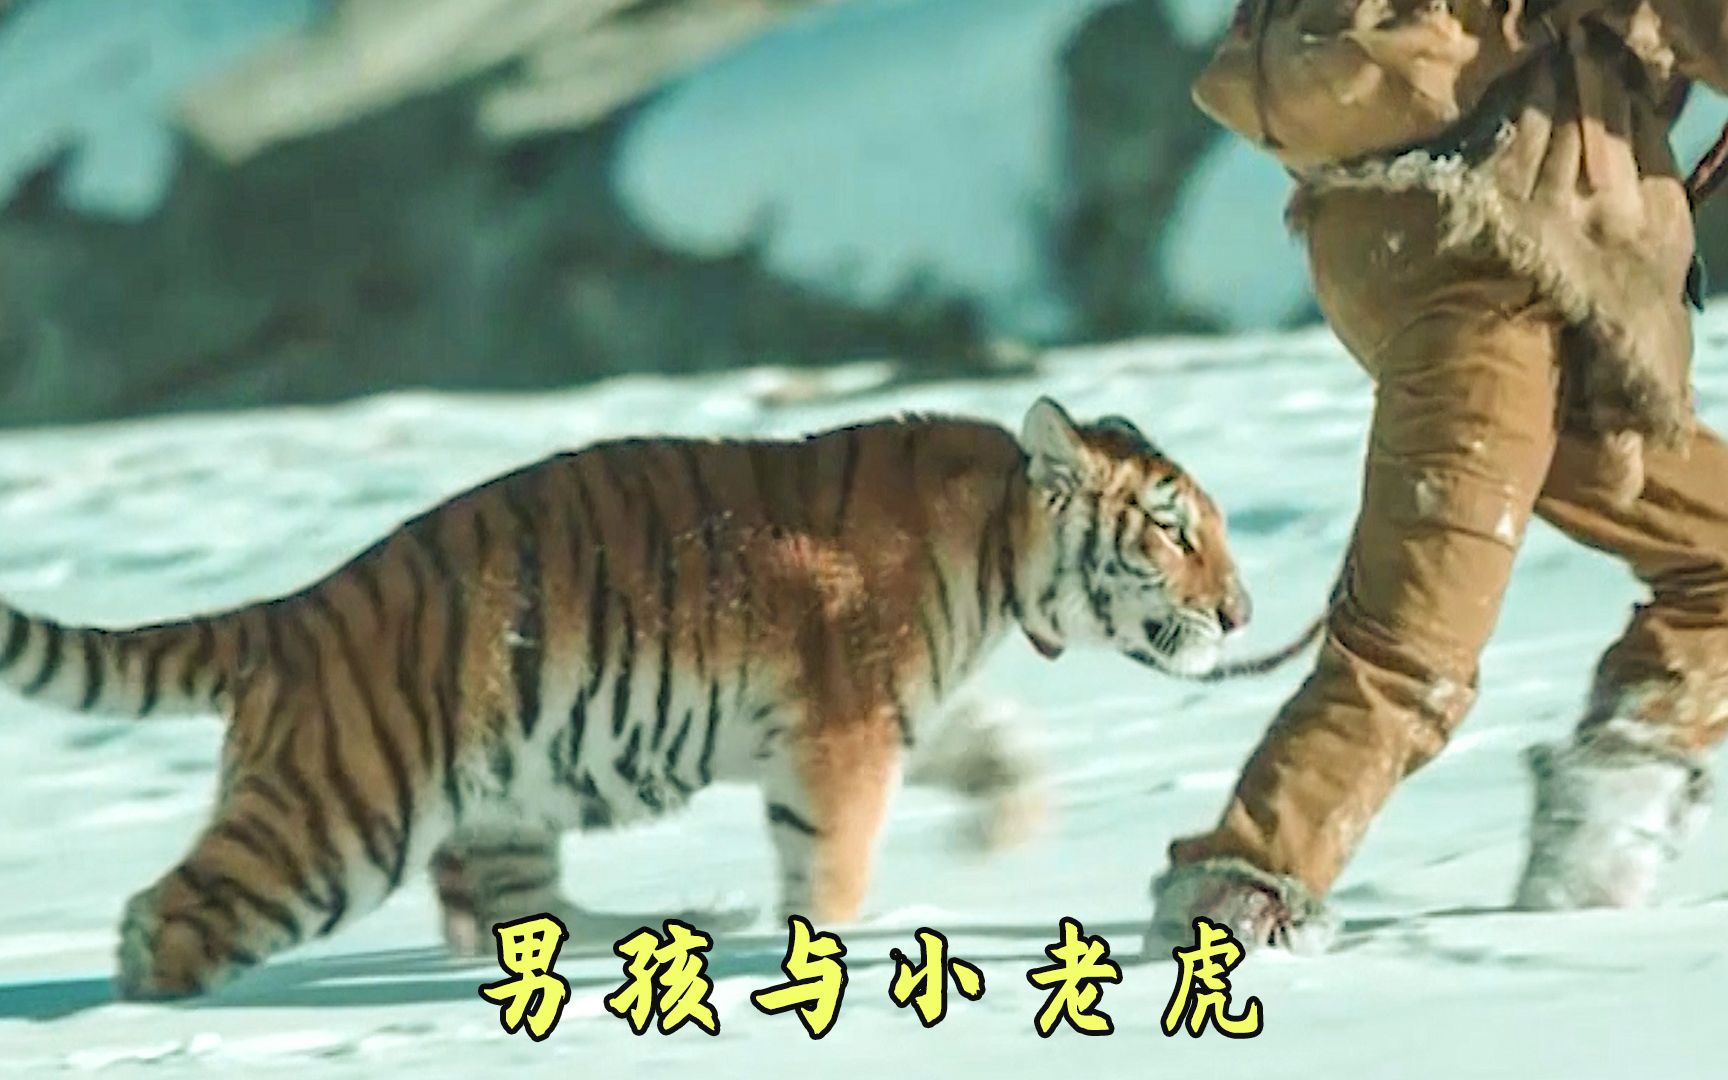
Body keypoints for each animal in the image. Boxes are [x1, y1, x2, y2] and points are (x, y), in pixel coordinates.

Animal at [0, 396, 1251, 1000]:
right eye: (1176, 531)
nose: (1242, 613)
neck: (997, 551)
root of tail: (292, 611)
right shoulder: (841, 736)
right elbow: (833, 869)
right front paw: (825, 955)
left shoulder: (891, 715)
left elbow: (989, 747)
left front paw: (1010, 823)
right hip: (339, 820)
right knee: (172, 916)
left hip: (500, 801)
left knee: (501, 915)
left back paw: (679, 927)